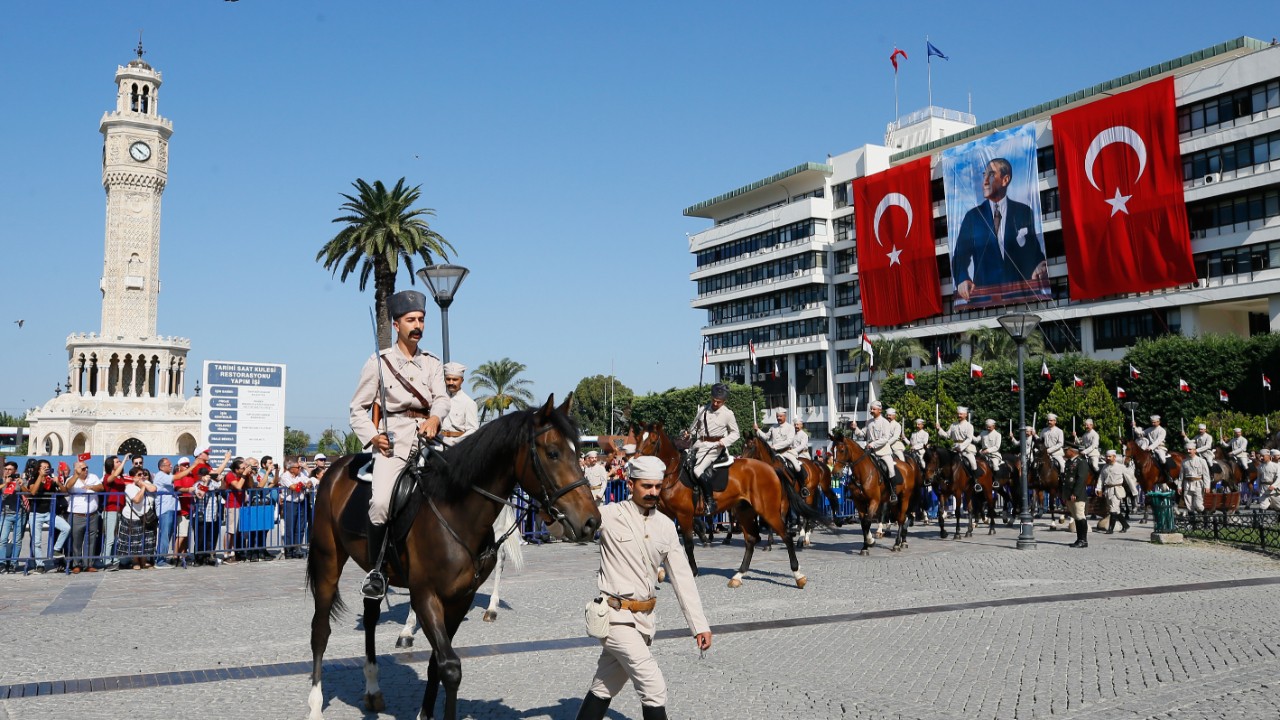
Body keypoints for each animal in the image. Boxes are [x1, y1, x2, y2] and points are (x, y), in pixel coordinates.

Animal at [634, 422, 824, 586]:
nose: (634, 462)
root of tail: (771, 469)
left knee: (786, 535)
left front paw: (693, 571)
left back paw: (798, 571)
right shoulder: (666, 516)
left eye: (652, 441)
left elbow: (688, 545)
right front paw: (659, 571)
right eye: (638, 438)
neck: (673, 475)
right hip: (744, 511)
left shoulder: (684, 515)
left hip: (770, 510)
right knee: (751, 539)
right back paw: (739, 575)